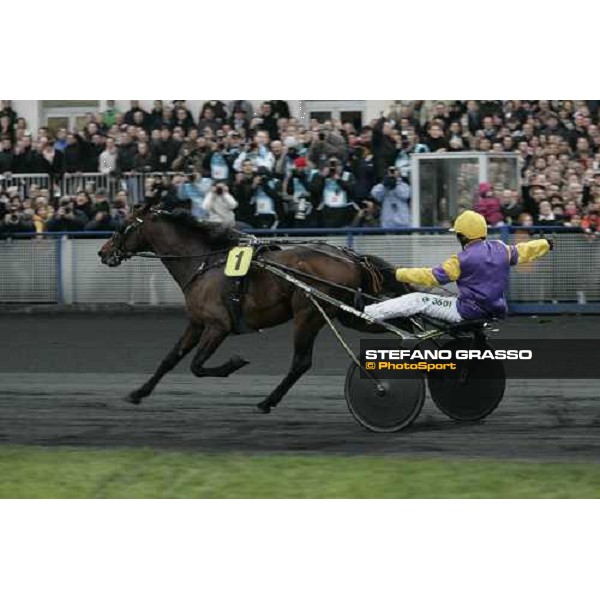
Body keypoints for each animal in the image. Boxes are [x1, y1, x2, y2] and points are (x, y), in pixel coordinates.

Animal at [99, 206, 408, 412]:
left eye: (123, 226)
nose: (103, 252)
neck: (204, 263)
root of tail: (350, 258)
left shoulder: (219, 326)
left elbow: (197, 365)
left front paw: (234, 364)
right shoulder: (196, 323)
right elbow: (170, 359)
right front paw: (138, 392)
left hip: (308, 314)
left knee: (301, 362)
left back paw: (267, 401)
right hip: (346, 313)